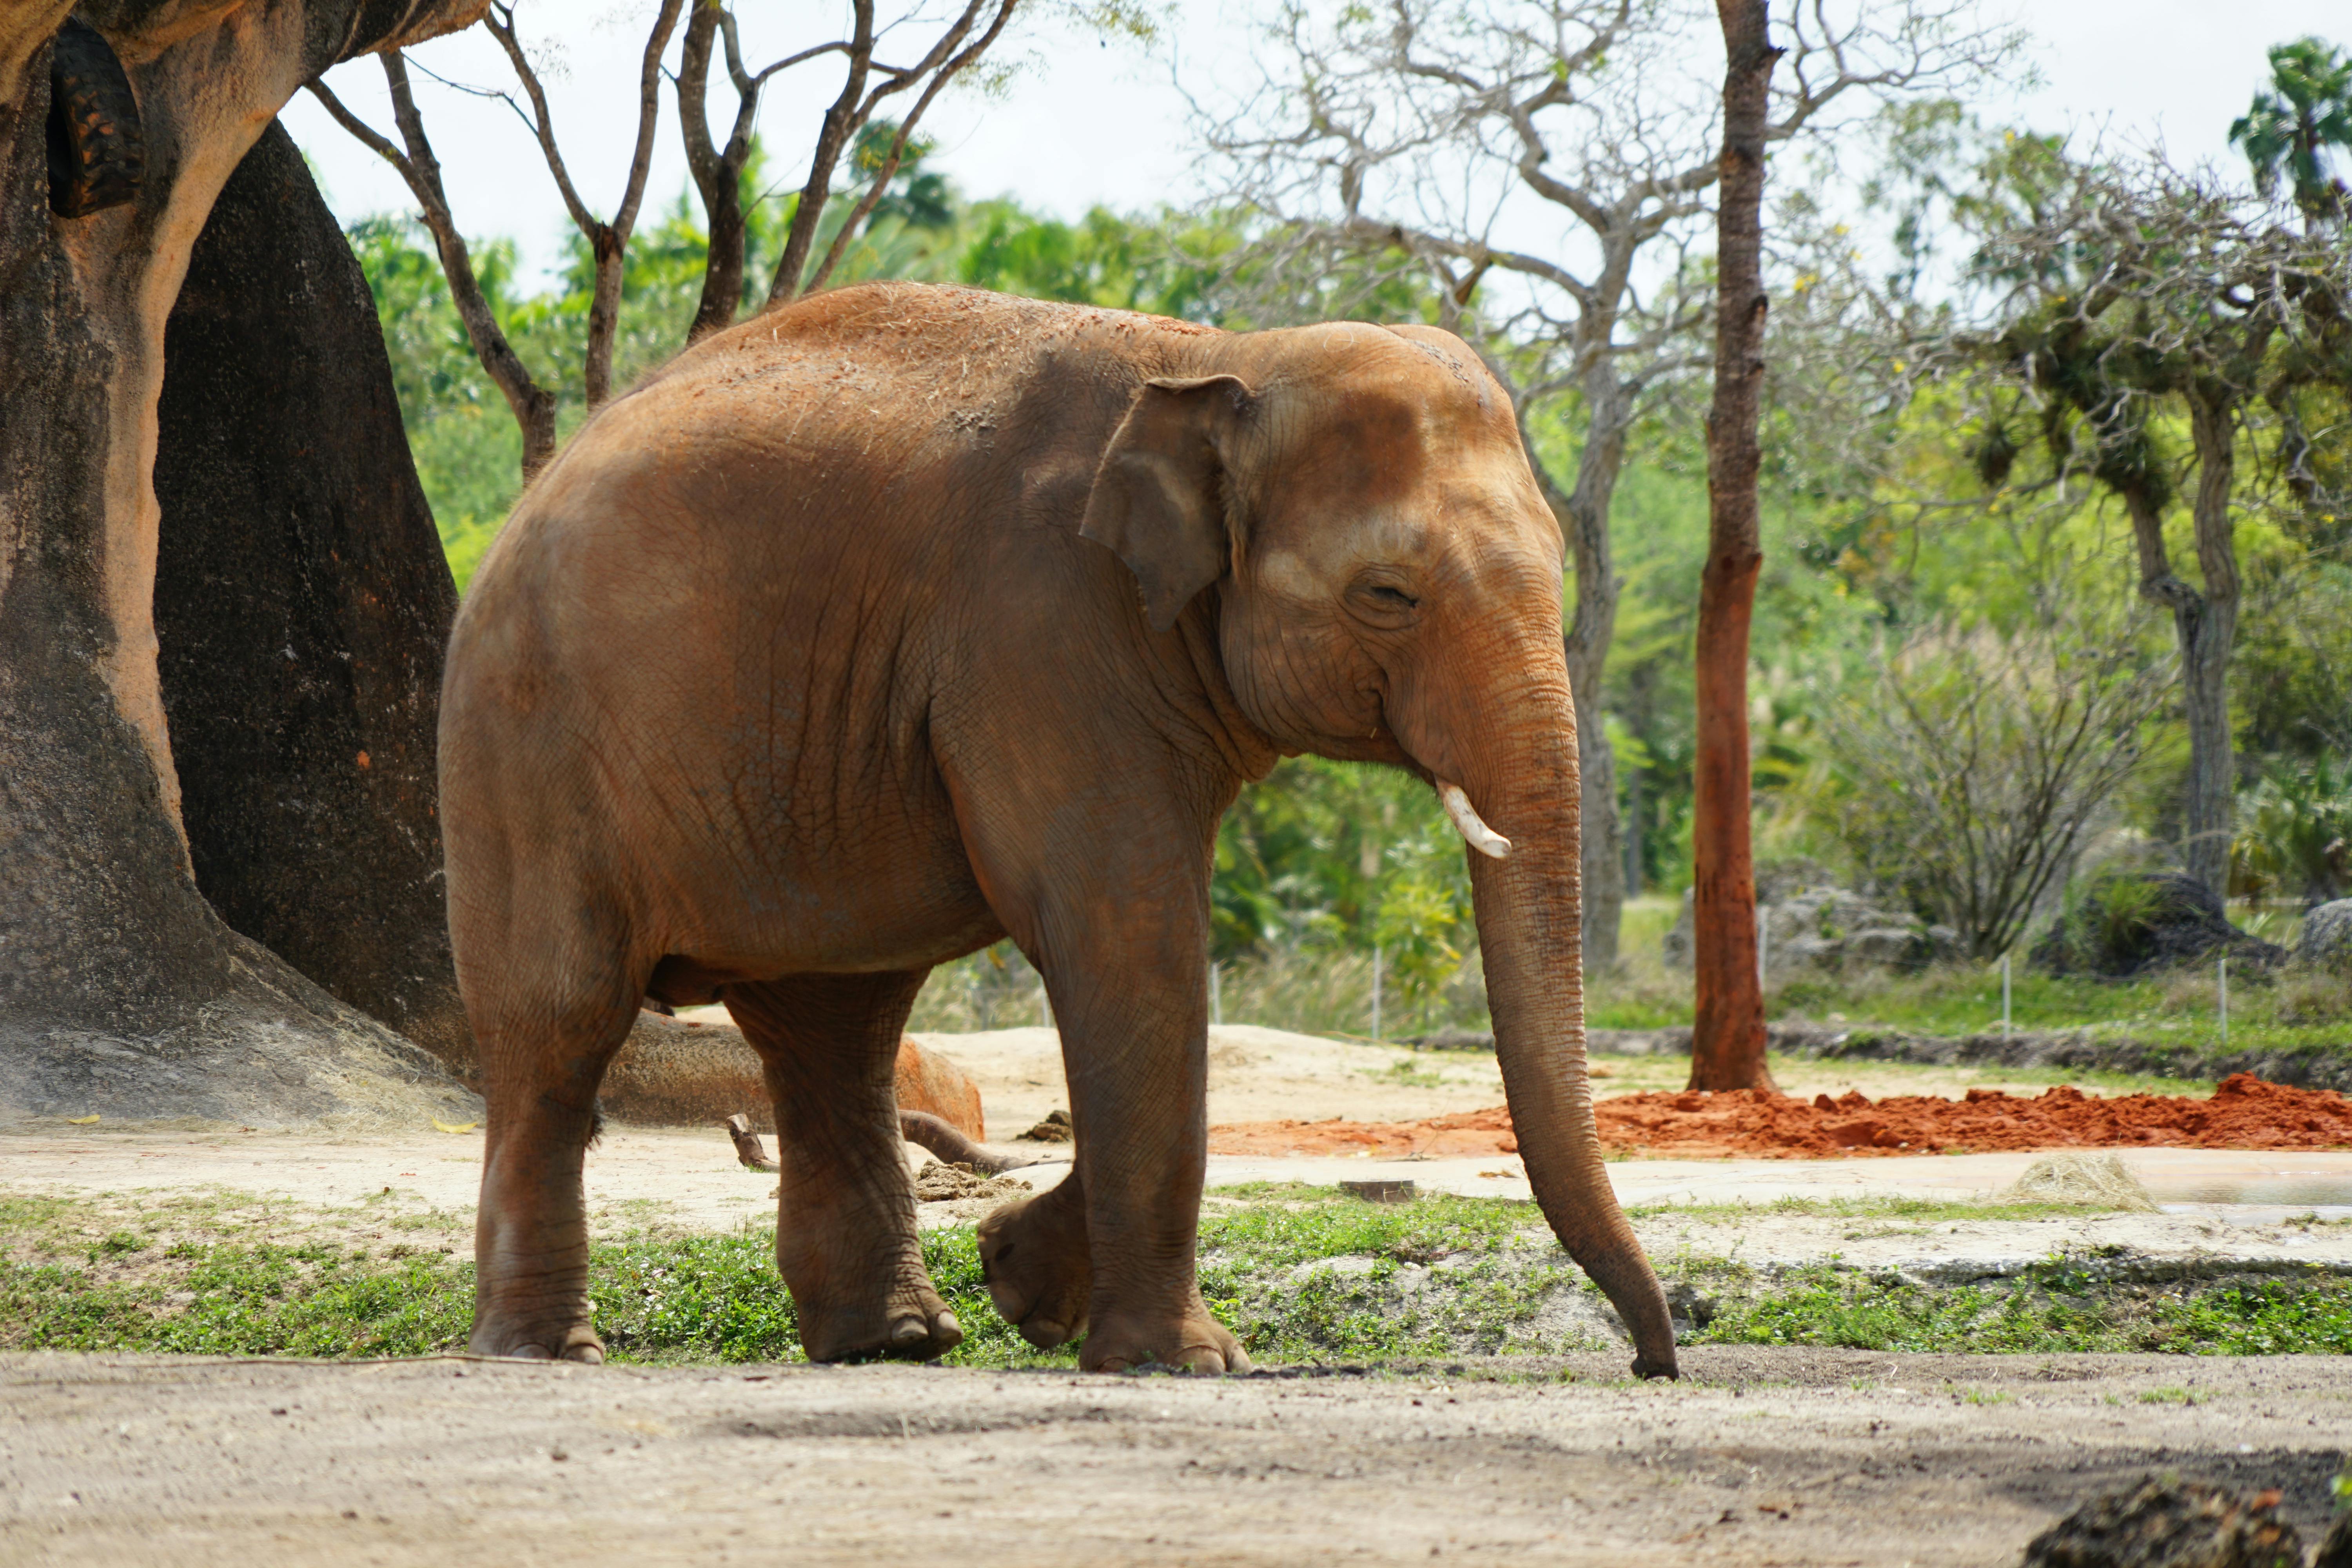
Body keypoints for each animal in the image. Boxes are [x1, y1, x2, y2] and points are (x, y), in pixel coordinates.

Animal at [438, 280, 1679, 1379]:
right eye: (1388, 595)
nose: (1653, 1363)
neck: (1219, 357)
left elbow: (1128, 949)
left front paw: (1022, 1279)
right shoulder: (1039, 627)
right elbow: (1126, 931)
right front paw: (1183, 1359)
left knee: (837, 1023)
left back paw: (897, 1341)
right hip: (522, 749)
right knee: (563, 1016)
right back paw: (548, 1350)